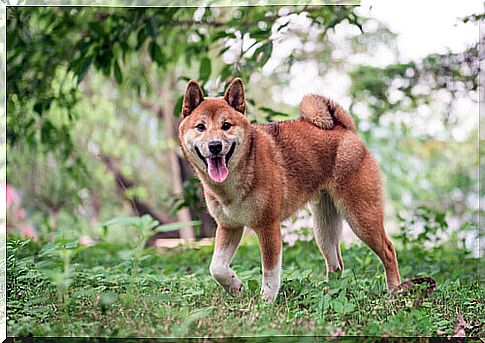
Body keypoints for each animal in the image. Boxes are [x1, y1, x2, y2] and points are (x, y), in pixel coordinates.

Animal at [180, 79, 398, 302]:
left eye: (226, 125)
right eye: (200, 127)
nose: (215, 145)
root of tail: (345, 129)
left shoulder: (268, 226)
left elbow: (270, 273)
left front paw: (265, 302)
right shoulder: (229, 227)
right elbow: (217, 268)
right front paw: (236, 287)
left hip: (360, 217)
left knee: (388, 250)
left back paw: (394, 291)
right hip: (323, 228)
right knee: (336, 264)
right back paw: (330, 293)